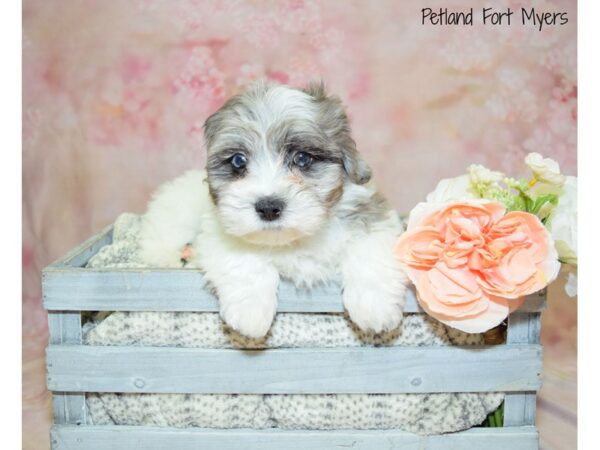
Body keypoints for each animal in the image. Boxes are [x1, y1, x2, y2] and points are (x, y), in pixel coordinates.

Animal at [138, 81, 406, 338]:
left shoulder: (371, 215)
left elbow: (369, 250)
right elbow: (243, 258)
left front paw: (374, 307)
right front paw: (250, 312)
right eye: (238, 161)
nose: (268, 207)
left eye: (302, 158)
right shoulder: (218, 231)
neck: (294, 239)